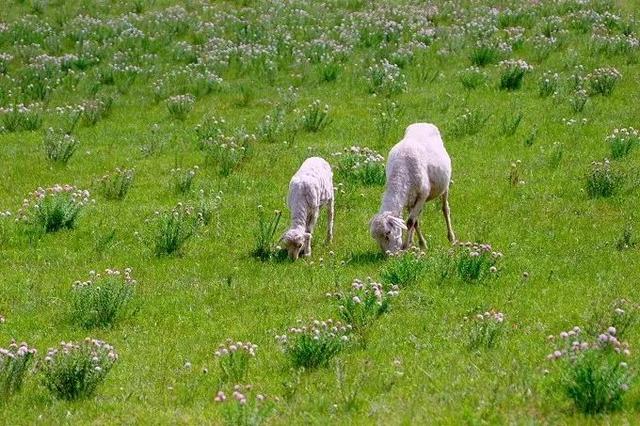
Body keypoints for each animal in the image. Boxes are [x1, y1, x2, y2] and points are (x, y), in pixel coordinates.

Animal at [370, 122, 456, 253]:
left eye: (388, 233)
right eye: (376, 239)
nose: (389, 255)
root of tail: (423, 123)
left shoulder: (422, 196)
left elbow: (410, 222)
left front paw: (406, 247)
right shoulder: (408, 200)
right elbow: (414, 222)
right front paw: (418, 244)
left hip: (444, 187)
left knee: (445, 209)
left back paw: (451, 237)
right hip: (412, 199)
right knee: (417, 217)